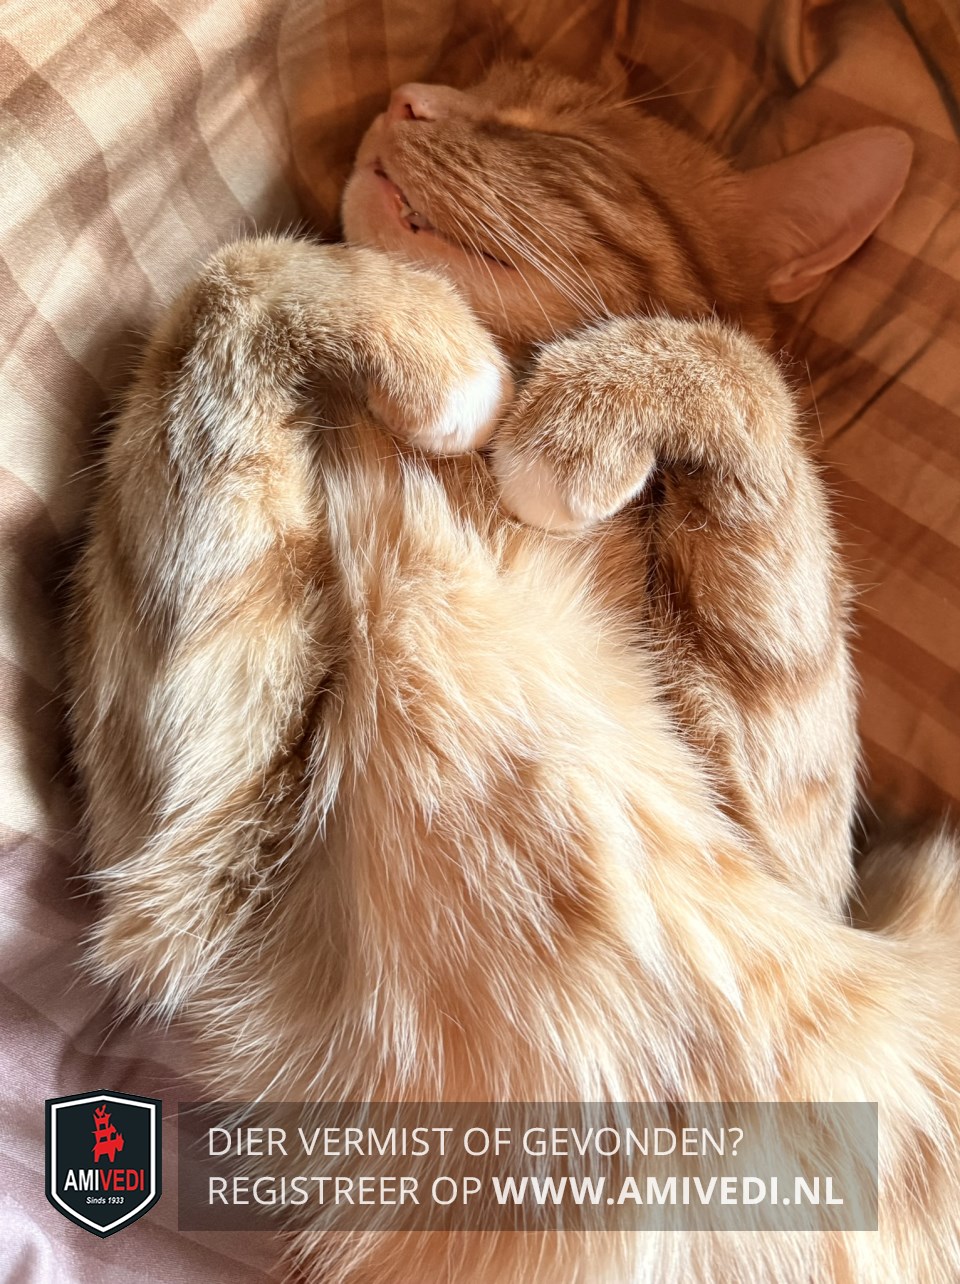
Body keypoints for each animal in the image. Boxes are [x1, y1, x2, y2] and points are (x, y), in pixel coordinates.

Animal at [66, 61, 960, 1283]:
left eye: (563, 138)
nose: (409, 97)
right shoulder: (179, 856)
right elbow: (235, 271)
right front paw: (422, 330)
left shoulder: (802, 853)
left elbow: (741, 371)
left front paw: (577, 410)